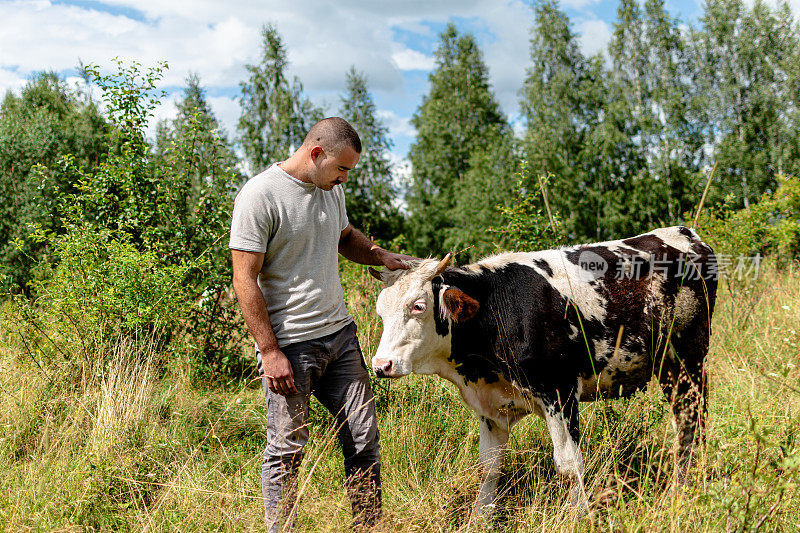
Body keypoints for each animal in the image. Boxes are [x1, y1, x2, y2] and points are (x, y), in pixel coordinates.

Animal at [368, 225, 720, 520]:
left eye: (418, 306)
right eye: (380, 311)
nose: (381, 365)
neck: (495, 312)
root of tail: (686, 234)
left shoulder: (560, 393)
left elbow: (569, 465)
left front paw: (577, 517)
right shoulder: (489, 406)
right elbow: (488, 469)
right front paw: (480, 519)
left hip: (688, 359)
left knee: (692, 422)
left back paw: (687, 487)